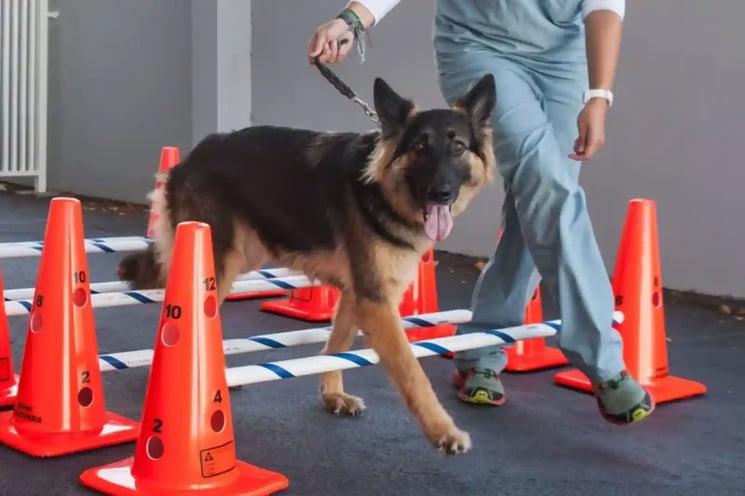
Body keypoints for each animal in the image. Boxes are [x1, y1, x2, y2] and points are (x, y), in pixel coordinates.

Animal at [119, 72, 496, 454]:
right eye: (419, 148)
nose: (441, 193)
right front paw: (443, 430)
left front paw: (332, 394)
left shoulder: (356, 295)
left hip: (239, 259)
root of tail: (190, 158)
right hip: (215, 260)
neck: (380, 189)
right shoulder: (376, 302)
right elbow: (411, 370)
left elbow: (337, 344)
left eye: (458, 147)